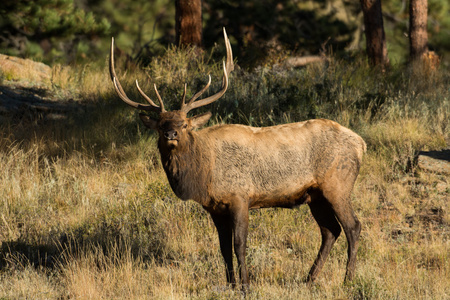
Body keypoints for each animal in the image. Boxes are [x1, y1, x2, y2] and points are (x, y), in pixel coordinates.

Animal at [109, 28, 366, 288]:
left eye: (185, 124)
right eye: (161, 124)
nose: (171, 133)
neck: (204, 174)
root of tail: (360, 143)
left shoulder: (240, 197)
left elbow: (240, 244)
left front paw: (245, 285)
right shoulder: (214, 208)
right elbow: (223, 248)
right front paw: (231, 284)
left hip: (337, 185)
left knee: (352, 226)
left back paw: (348, 279)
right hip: (315, 195)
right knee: (330, 230)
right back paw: (309, 278)